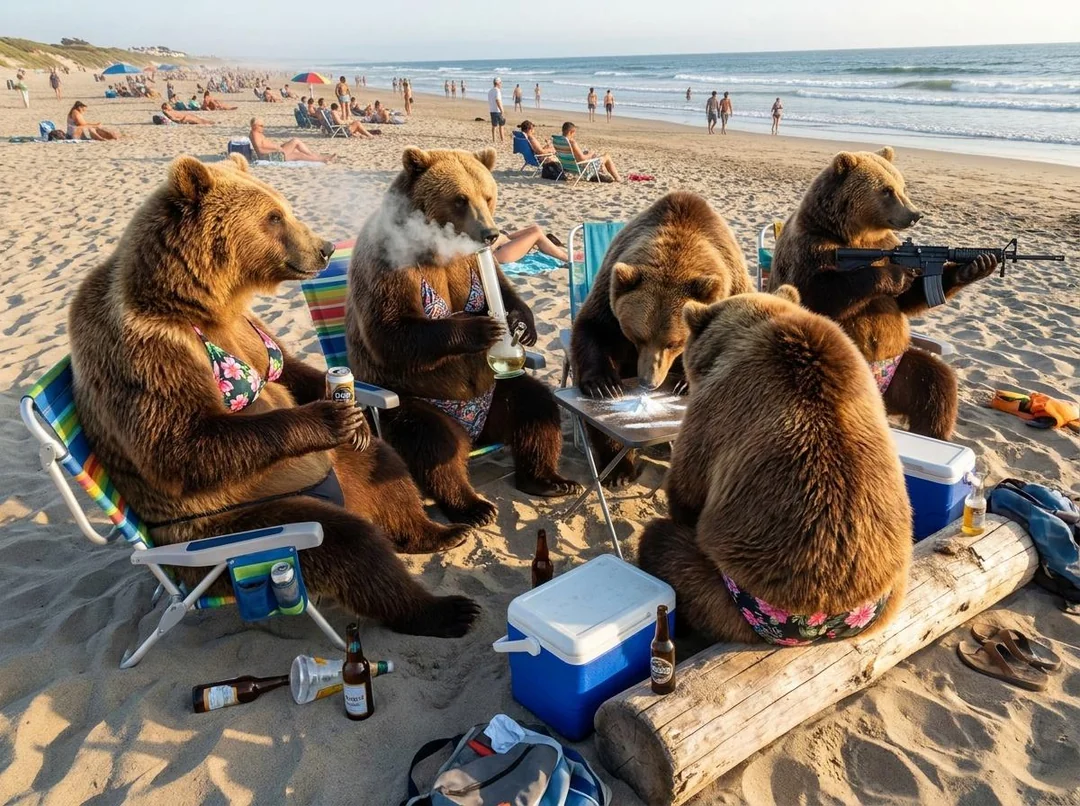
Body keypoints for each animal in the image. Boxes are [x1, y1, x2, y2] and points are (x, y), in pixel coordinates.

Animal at [69, 154, 479, 638]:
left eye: (282, 208)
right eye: (273, 216)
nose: (323, 248)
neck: (189, 300)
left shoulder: (247, 328)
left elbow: (291, 369)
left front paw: (352, 411)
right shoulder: (143, 350)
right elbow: (181, 443)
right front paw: (329, 416)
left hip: (338, 467)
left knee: (387, 471)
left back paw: (437, 531)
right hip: (232, 527)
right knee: (346, 546)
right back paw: (444, 610)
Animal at [345, 147, 581, 527]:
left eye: (488, 195)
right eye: (460, 199)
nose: (490, 233)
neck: (436, 250)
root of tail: (475, 432)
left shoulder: (475, 263)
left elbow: (503, 290)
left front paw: (521, 324)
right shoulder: (389, 261)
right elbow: (392, 330)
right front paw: (483, 327)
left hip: (498, 395)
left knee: (536, 409)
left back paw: (548, 480)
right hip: (414, 400)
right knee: (433, 444)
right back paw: (474, 507)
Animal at [569, 191, 753, 485]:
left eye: (674, 343)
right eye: (636, 336)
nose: (648, 382)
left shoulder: (734, 287)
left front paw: (683, 383)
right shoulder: (610, 292)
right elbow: (593, 328)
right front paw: (604, 384)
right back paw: (618, 470)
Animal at [638, 286, 912, 645]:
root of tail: (828, 622)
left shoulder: (715, 410)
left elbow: (687, 485)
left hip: (738, 599)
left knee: (663, 546)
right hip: (892, 592)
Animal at [768, 147, 997, 440]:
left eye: (902, 185)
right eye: (886, 190)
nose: (915, 214)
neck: (855, 237)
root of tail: (882, 392)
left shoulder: (887, 242)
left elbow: (910, 299)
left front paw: (971, 268)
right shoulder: (810, 247)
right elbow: (815, 293)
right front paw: (892, 275)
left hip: (901, 371)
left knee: (935, 385)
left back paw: (934, 430)